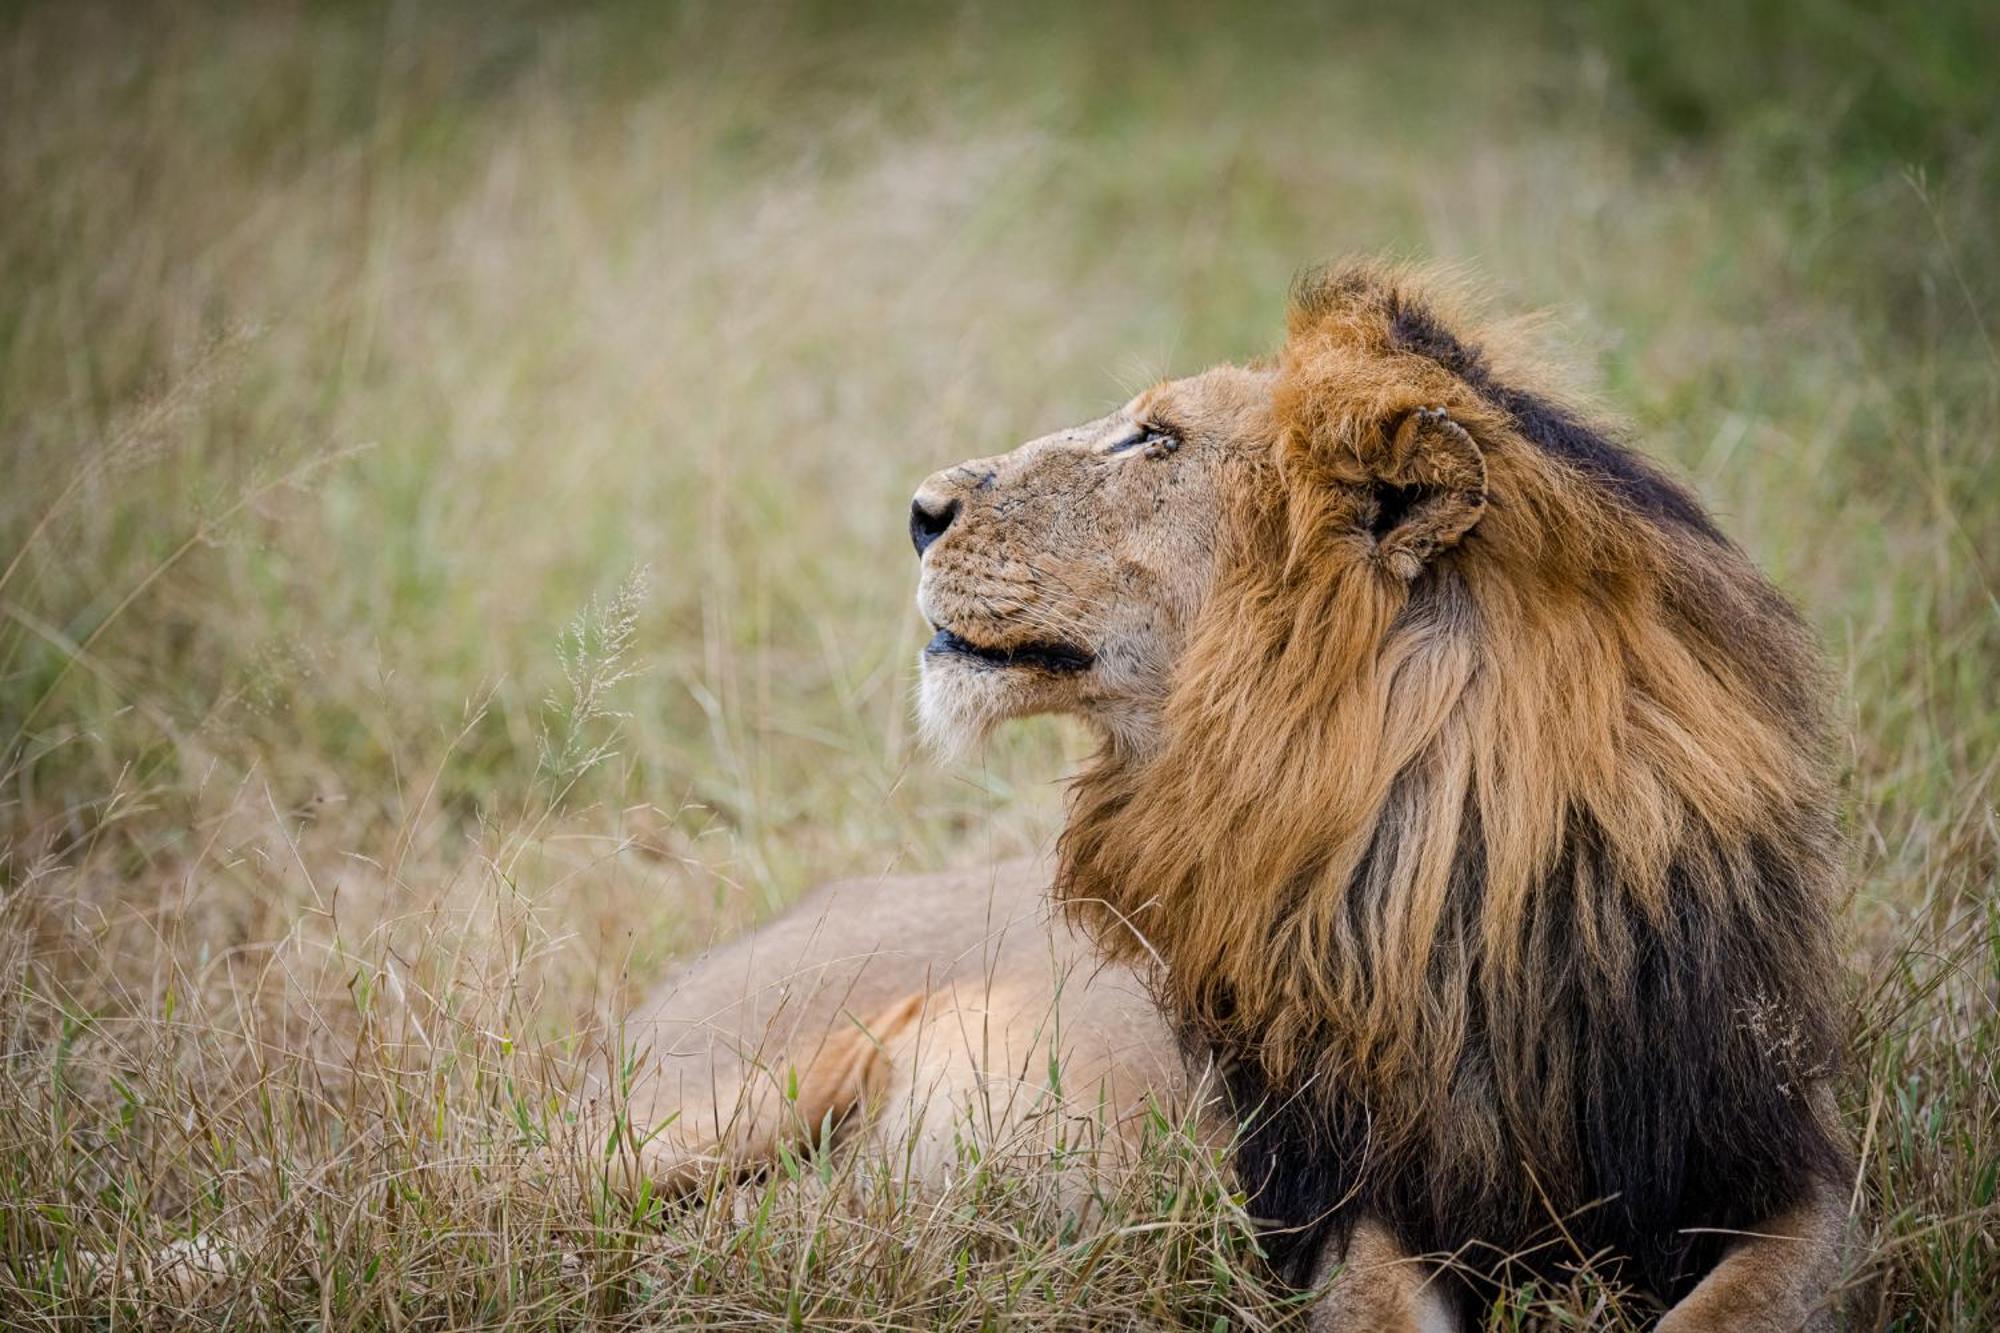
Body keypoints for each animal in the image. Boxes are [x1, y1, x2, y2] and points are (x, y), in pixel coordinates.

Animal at [616, 262, 1848, 1328]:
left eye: (1154, 437)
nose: (917, 509)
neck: (1457, 878)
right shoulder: (1331, 1197)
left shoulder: (1780, 1159)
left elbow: (1746, 1302)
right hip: (692, 1107)